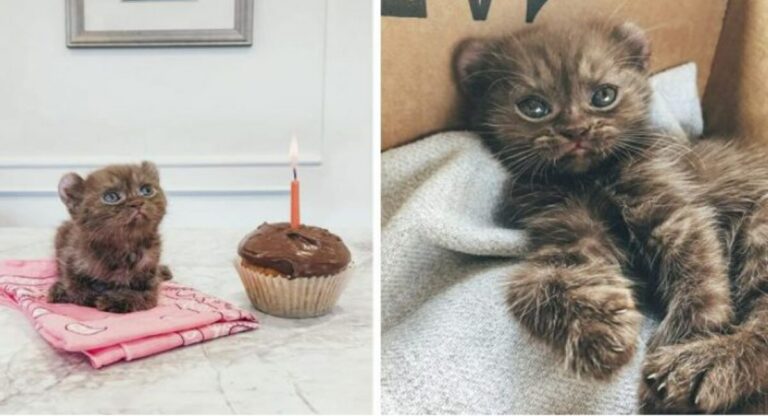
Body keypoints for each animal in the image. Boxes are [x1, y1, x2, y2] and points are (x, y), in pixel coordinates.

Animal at [49, 162, 172, 316]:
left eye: (146, 190)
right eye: (111, 197)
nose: (137, 202)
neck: (123, 247)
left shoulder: (150, 278)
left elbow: (142, 295)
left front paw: (115, 300)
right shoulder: (69, 257)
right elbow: (75, 287)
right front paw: (63, 291)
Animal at [456, 18, 768, 412]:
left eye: (603, 96)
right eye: (534, 107)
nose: (576, 130)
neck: (591, 178)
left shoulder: (677, 212)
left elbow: (700, 279)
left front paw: (685, 338)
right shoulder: (566, 231)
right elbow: (540, 283)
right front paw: (596, 330)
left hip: (759, 226)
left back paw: (702, 366)